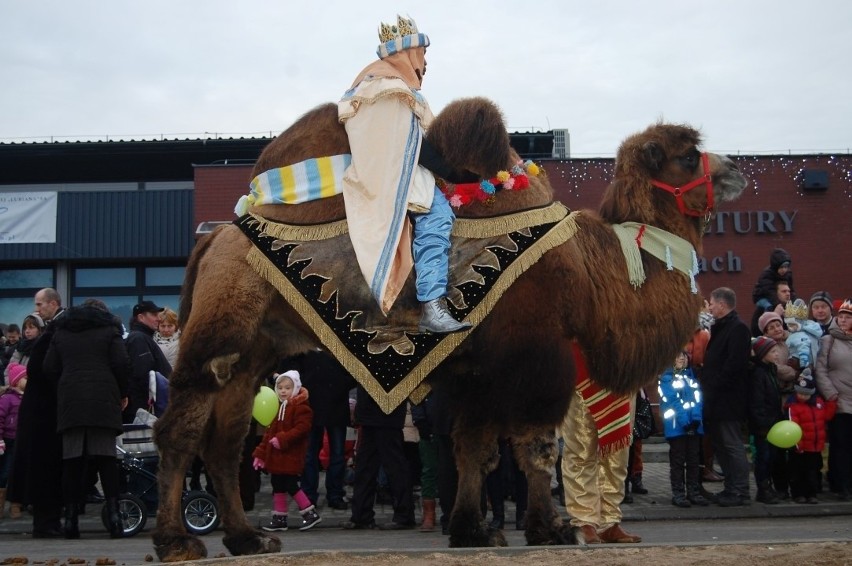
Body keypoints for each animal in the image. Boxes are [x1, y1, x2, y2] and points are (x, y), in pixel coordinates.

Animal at [151, 98, 744, 564]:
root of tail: (217, 236)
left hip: (254, 351)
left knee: (225, 442)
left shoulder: (478, 370)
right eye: (687, 156)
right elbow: (533, 447)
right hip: (220, 332)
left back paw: (247, 540)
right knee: (182, 430)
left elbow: (474, 449)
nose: (735, 169)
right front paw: (551, 529)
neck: (590, 270)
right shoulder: (536, 357)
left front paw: (474, 531)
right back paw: (178, 541)